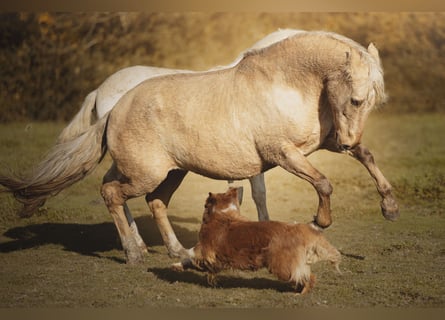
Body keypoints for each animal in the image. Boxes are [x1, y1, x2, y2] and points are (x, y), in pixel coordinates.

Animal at [0, 30, 398, 264]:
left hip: (172, 172)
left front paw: (390, 207)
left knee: (153, 202)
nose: (347, 140)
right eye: (357, 100)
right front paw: (319, 221)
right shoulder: (283, 154)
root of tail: (115, 104)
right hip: (145, 173)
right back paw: (134, 253)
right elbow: (322, 183)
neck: (284, 84)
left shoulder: (318, 145)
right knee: (113, 193)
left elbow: (366, 157)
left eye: (372, 103)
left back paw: (179, 252)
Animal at [153, 188, 340, 296]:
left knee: (308, 277)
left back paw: (300, 293)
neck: (222, 214)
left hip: (281, 265)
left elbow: (190, 254)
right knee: (303, 274)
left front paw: (177, 263)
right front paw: (176, 265)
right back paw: (298, 289)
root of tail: (298, 229)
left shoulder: (206, 250)